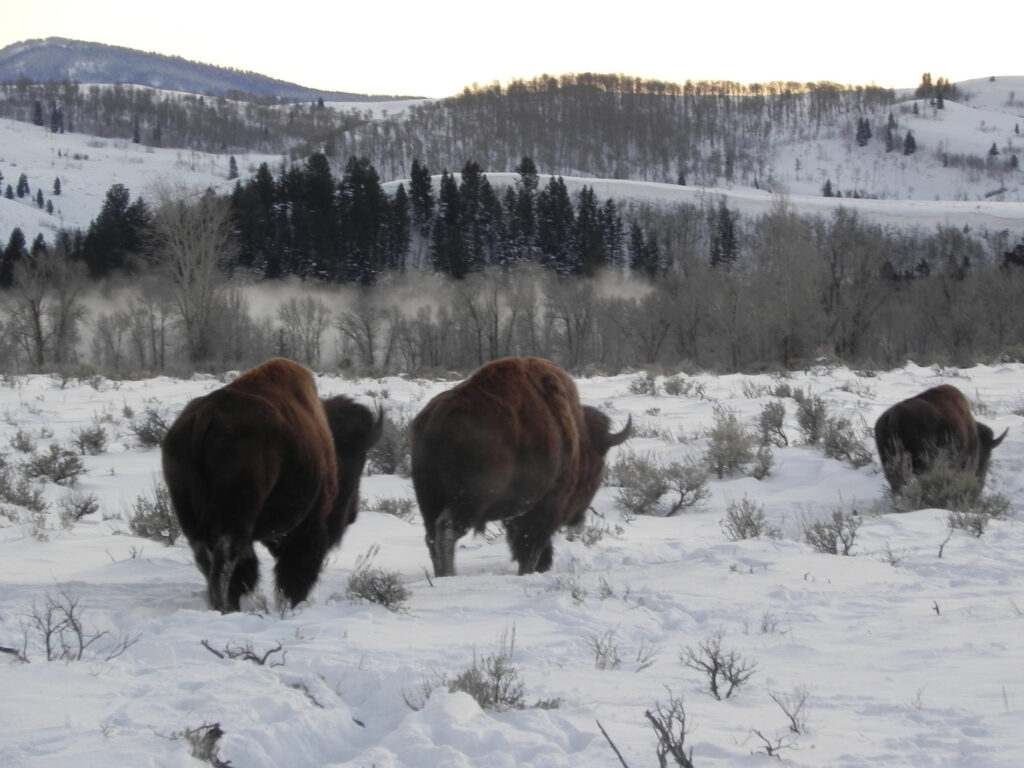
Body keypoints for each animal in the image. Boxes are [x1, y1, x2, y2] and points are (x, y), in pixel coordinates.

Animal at [162, 358, 366, 612]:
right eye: (358, 461)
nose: (353, 514)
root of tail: (205, 416)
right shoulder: (311, 522)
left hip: (189, 514)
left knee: (208, 559)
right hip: (236, 516)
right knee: (226, 561)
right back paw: (226, 608)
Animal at [410, 357, 631, 577]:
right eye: (597, 462)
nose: (578, 518)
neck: (578, 437)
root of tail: (437, 418)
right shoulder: (545, 506)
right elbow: (531, 543)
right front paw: (531, 570)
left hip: (429, 497)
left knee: (431, 535)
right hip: (470, 498)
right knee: (446, 529)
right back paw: (449, 574)